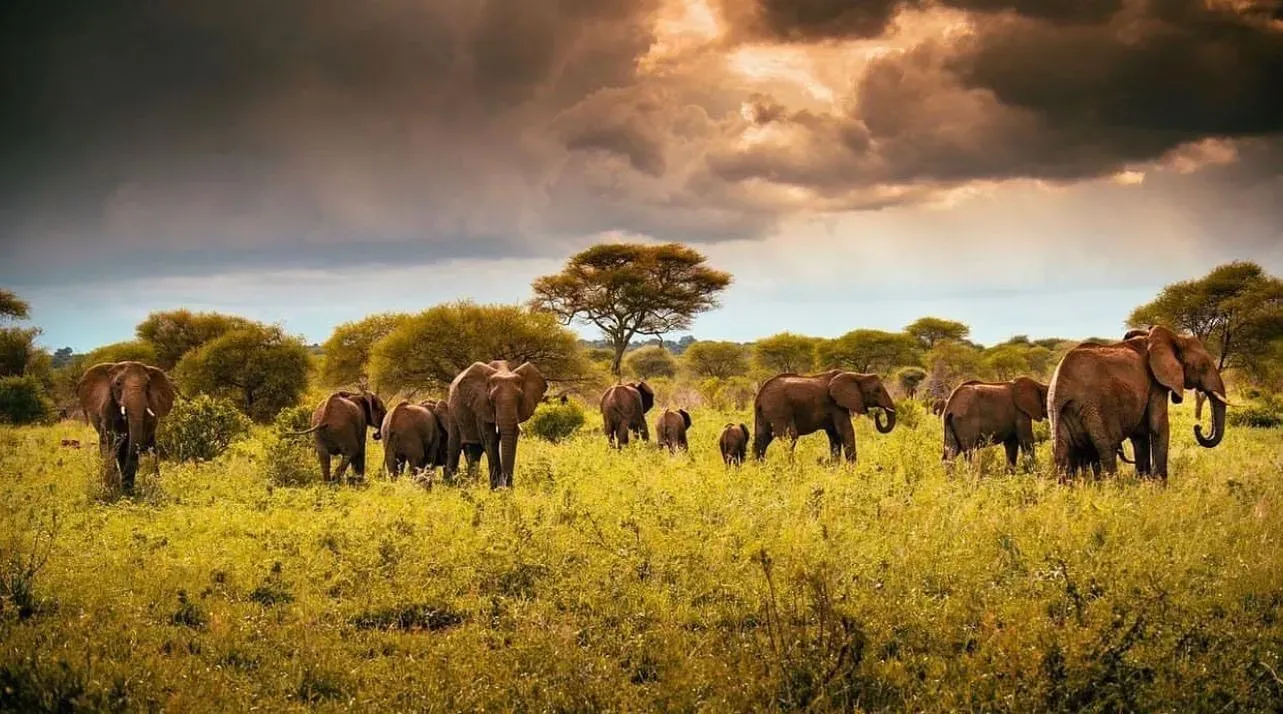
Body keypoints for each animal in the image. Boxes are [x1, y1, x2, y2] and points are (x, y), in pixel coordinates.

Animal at [77, 360, 176, 495]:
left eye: (147, 385)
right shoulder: (107, 407)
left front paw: (126, 491)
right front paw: (110, 490)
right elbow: (108, 443)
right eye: (118, 384)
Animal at [444, 360, 547, 489]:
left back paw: (472, 485)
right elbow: (491, 440)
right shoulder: (482, 406)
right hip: (452, 412)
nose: (506, 487)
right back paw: (450, 485)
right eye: (492, 400)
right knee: (454, 448)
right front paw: (496, 490)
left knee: (473, 452)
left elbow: (512, 438)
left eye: (519, 398)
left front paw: (506, 490)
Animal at [753, 370, 897, 462]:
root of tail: (760, 396)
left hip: (764, 413)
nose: (877, 413)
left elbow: (835, 435)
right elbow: (846, 431)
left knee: (761, 439)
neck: (856, 375)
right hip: (779, 409)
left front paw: (835, 469)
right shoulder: (836, 405)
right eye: (877, 391)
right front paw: (852, 471)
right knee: (790, 437)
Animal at [1048, 325, 1229, 481]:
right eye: (1204, 366)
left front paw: (1144, 482)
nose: (1198, 427)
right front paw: (1160, 487)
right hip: (1095, 408)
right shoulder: (1156, 383)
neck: (1174, 337)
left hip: (1058, 413)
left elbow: (1140, 434)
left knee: (1064, 455)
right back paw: (1112, 487)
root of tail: (1060, 387)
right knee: (1106, 450)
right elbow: (1158, 427)